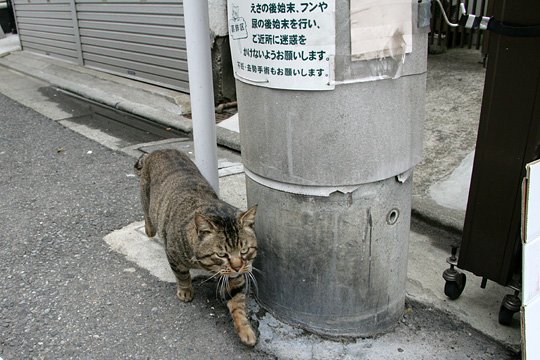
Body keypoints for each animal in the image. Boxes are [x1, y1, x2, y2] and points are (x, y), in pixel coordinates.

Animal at [137, 149, 260, 346]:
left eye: (244, 251)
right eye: (221, 254)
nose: (237, 266)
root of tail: (158, 150)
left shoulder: (235, 278)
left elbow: (238, 304)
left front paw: (245, 329)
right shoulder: (173, 255)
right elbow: (182, 275)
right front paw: (185, 290)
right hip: (146, 197)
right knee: (148, 214)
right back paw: (149, 229)